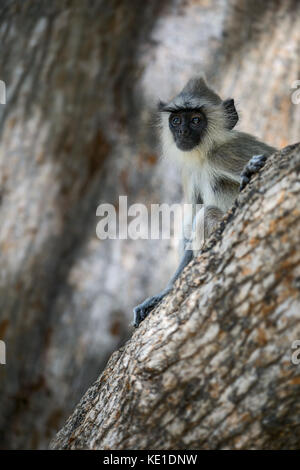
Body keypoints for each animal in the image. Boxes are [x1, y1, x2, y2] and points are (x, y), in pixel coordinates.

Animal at [133, 76, 274, 326]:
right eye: (176, 120)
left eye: (196, 120)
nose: (182, 131)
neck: (206, 154)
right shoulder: (190, 173)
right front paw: (162, 294)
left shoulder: (226, 154)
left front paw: (249, 173)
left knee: (206, 214)